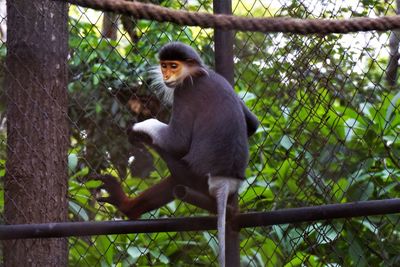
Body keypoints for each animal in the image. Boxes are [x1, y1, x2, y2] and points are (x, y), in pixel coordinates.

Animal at [96, 43, 260, 266]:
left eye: (174, 66)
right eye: (164, 66)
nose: (167, 75)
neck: (198, 73)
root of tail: (225, 180)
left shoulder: (184, 91)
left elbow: (178, 141)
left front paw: (139, 127)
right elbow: (253, 123)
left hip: (194, 177)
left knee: (173, 172)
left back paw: (127, 205)